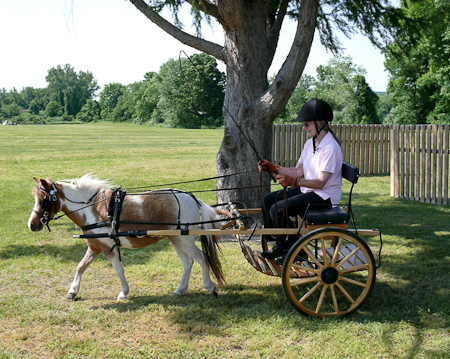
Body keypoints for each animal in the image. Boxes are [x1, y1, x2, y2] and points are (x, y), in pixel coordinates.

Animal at [27, 174, 225, 300]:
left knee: (201, 258)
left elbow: (119, 270)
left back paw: (209, 286)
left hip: (183, 240)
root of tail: (193, 199)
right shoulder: (94, 247)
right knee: (188, 263)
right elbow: (80, 267)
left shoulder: (108, 248)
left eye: (43, 200)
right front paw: (73, 291)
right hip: (177, 239)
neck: (92, 208)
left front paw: (124, 292)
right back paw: (180, 290)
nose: (31, 224)